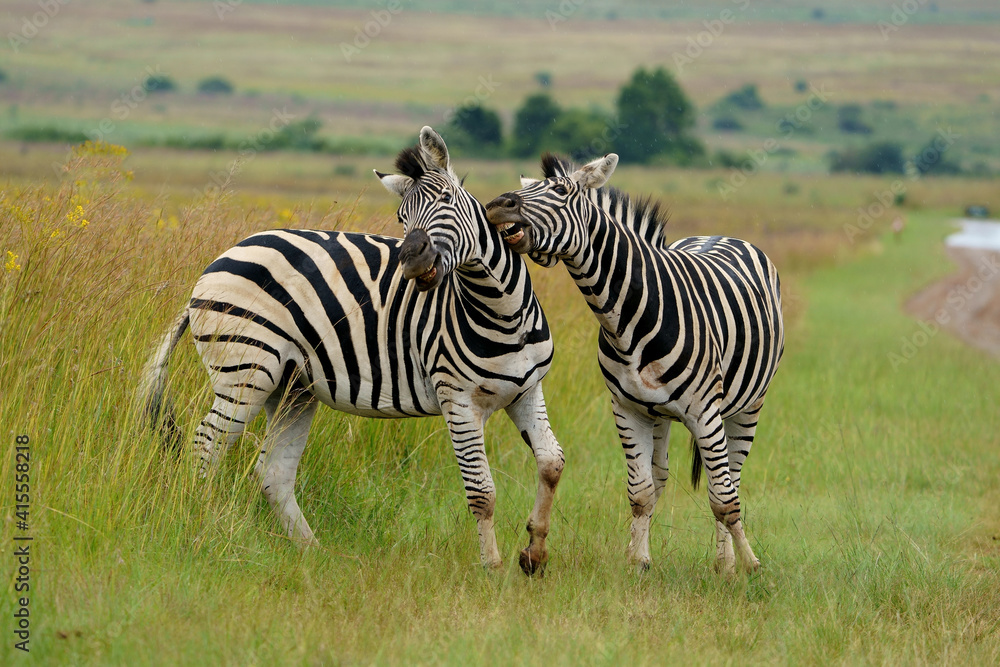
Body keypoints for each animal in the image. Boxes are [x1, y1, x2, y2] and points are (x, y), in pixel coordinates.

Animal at [141, 127, 564, 575]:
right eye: (401, 219)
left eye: (448, 200)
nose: (411, 260)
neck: (503, 312)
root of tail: (217, 262)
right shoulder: (458, 399)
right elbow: (481, 492)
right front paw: (493, 570)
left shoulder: (527, 391)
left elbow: (551, 464)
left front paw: (534, 555)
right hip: (246, 372)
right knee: (205, 448)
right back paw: (206, 530)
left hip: (292, 388)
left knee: (272, 473)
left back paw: (314, 552)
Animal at [485, 153, 783, 573]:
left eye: (560, 190)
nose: (497, 205)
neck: (629, 320)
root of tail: (720, 235)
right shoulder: (628, 409)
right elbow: (642, 491)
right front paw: (638, 561)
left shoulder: (705, 411)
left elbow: (723, 498)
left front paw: (749, 565)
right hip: (660, 414)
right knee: (661, 476)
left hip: (749, 405)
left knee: (730, 478)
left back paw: (726, 563)